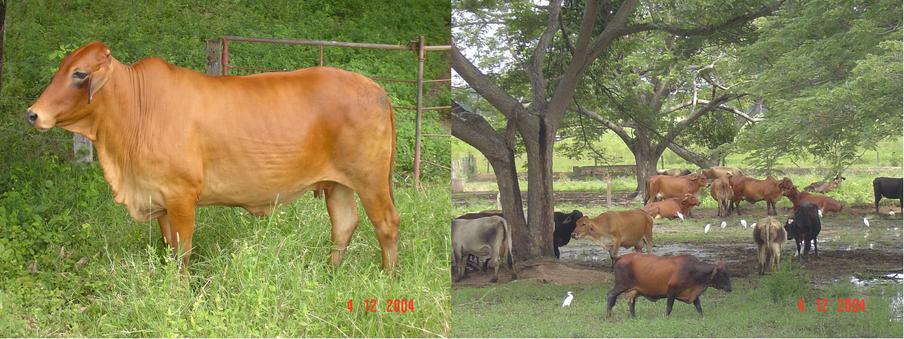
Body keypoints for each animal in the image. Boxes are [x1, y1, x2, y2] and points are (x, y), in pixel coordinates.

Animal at [25, 41, 400, 272]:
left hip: (370, 180)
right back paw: (329, 273)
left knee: (386, 224)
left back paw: (387, 278)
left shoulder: (181, 196)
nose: (33, 114)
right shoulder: (160, 198)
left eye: (79, 73)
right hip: (337, 184)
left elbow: (183, 253)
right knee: (344, 225)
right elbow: (169, 249)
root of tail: (375, 88)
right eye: (62, 68)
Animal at [604, 255, 732, 318]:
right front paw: (665, 318)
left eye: (728, 273)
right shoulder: (671, 291)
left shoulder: (693, 294)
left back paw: (633, 317)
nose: (730, 288)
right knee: (611, 295)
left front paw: (702, 318)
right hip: (621, 285)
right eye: (723, 274)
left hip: (633, 290)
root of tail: (620, 257)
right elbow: (669, 308)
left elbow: (699, 307)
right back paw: (608, 316)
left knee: (631, 302)